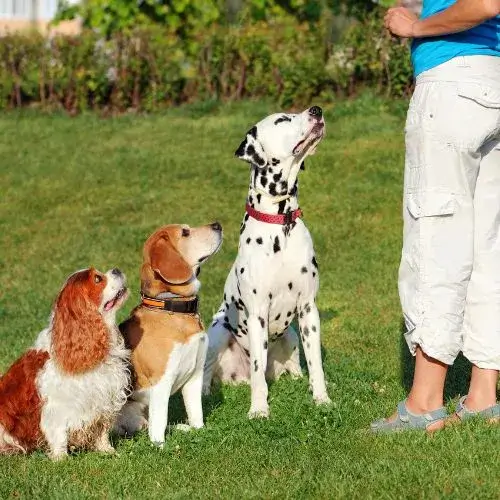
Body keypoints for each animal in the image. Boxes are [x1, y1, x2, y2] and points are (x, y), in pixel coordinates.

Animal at [0, 268, 130, 458]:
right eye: (98, 279)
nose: (117, 270)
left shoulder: (105, 397)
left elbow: (102, 430)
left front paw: (107, 450)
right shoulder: (57, 407)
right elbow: (59, 434)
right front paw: (61, 458)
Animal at [115, 223, 223, 446]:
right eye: (185, 232)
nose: (217, 224)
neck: (173, 309)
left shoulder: (196, 374)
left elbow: (196, 412)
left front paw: (199, 432)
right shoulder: (161, 382)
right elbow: (160, 420)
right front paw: (160, 446)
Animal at [203, 105, 332, 418]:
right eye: (283, 119)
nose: (317, 109)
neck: (279, 226)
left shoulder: (308, 309)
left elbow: (316, 364)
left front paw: (321, 399)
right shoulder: (258, 313)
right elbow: (258, 372)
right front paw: (259, 410)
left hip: (292, 335)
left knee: (294, 365)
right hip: (216, 332)